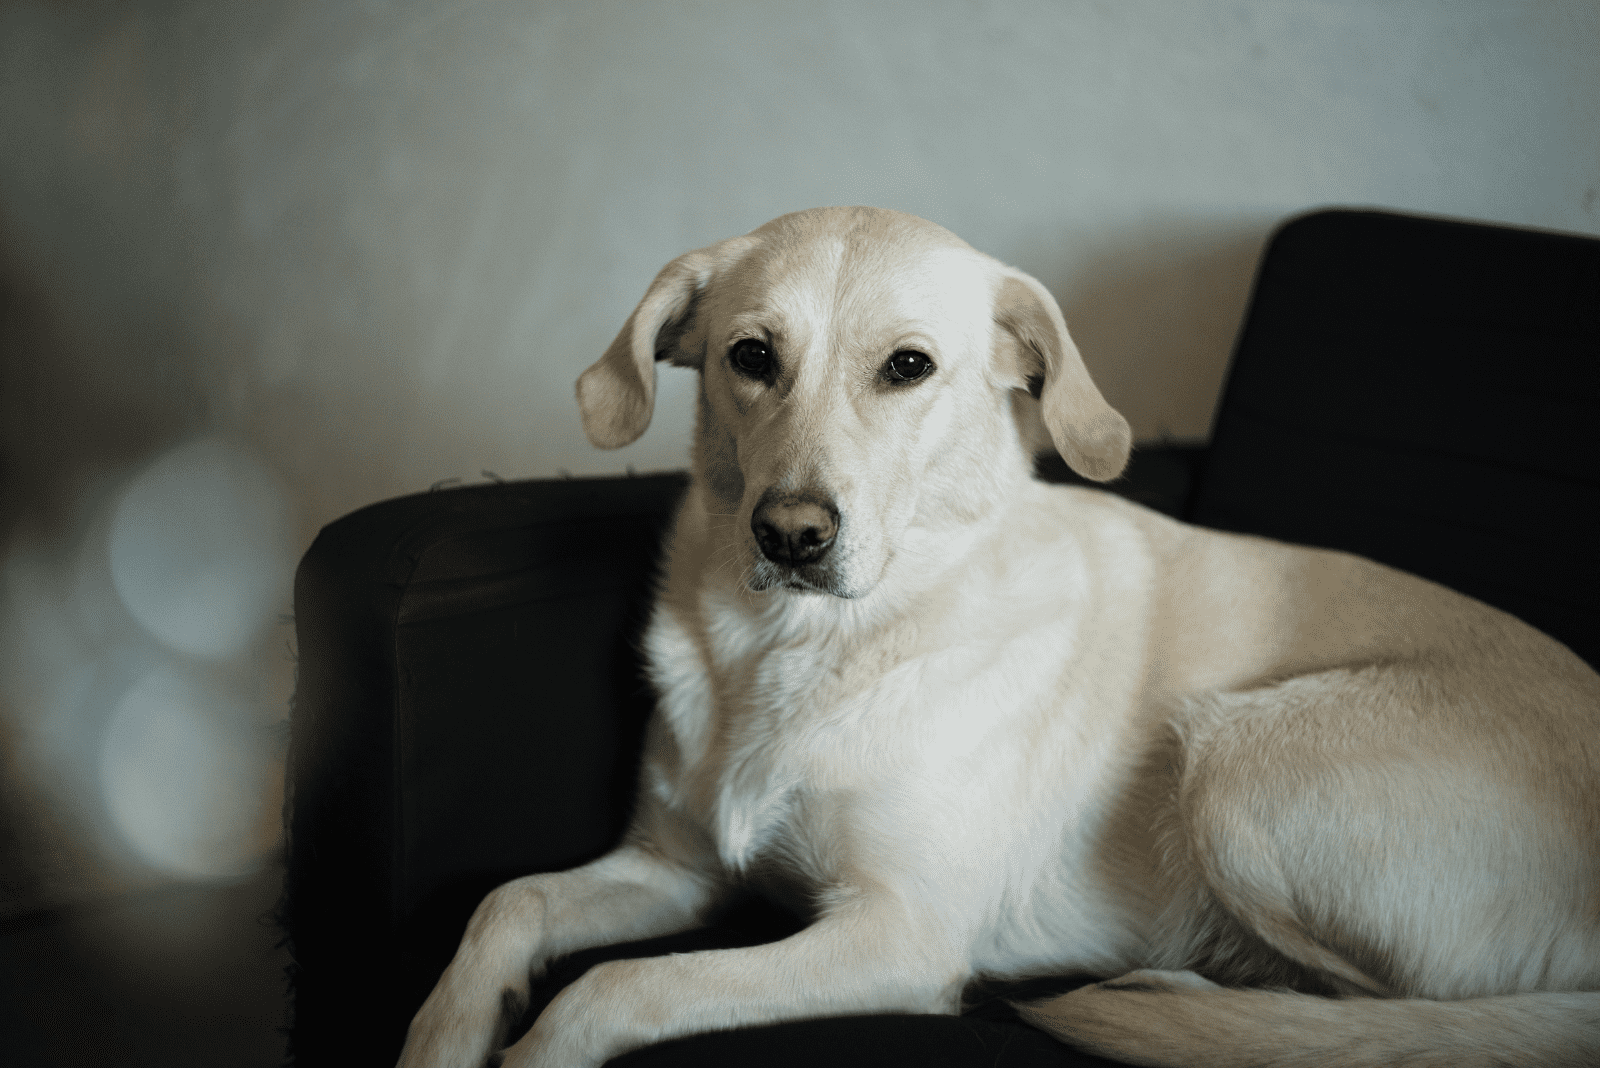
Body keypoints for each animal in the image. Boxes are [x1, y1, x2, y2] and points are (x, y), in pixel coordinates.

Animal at [396, 207, 1600, 1068]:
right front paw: (444, 1036)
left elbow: (624, 983)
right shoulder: (677, 871)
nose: (789, 535)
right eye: (750, 356)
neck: (801, 647)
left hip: (1236, 758)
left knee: (1391, 1023)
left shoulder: (896, 937)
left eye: (908, 367)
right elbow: (509, 903)